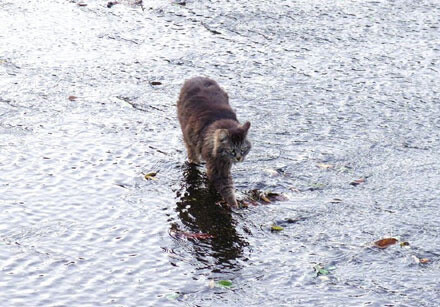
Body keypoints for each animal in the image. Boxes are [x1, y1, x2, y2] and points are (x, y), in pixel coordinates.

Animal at [176, 76, 251, 209]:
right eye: (232, 151)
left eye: (243, 150)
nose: (238, 158)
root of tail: (195, 77)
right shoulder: (217, 167)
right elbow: (227, 188)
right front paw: (234, 205)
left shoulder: (224, 164)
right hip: (188, 137)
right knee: (192, 153)